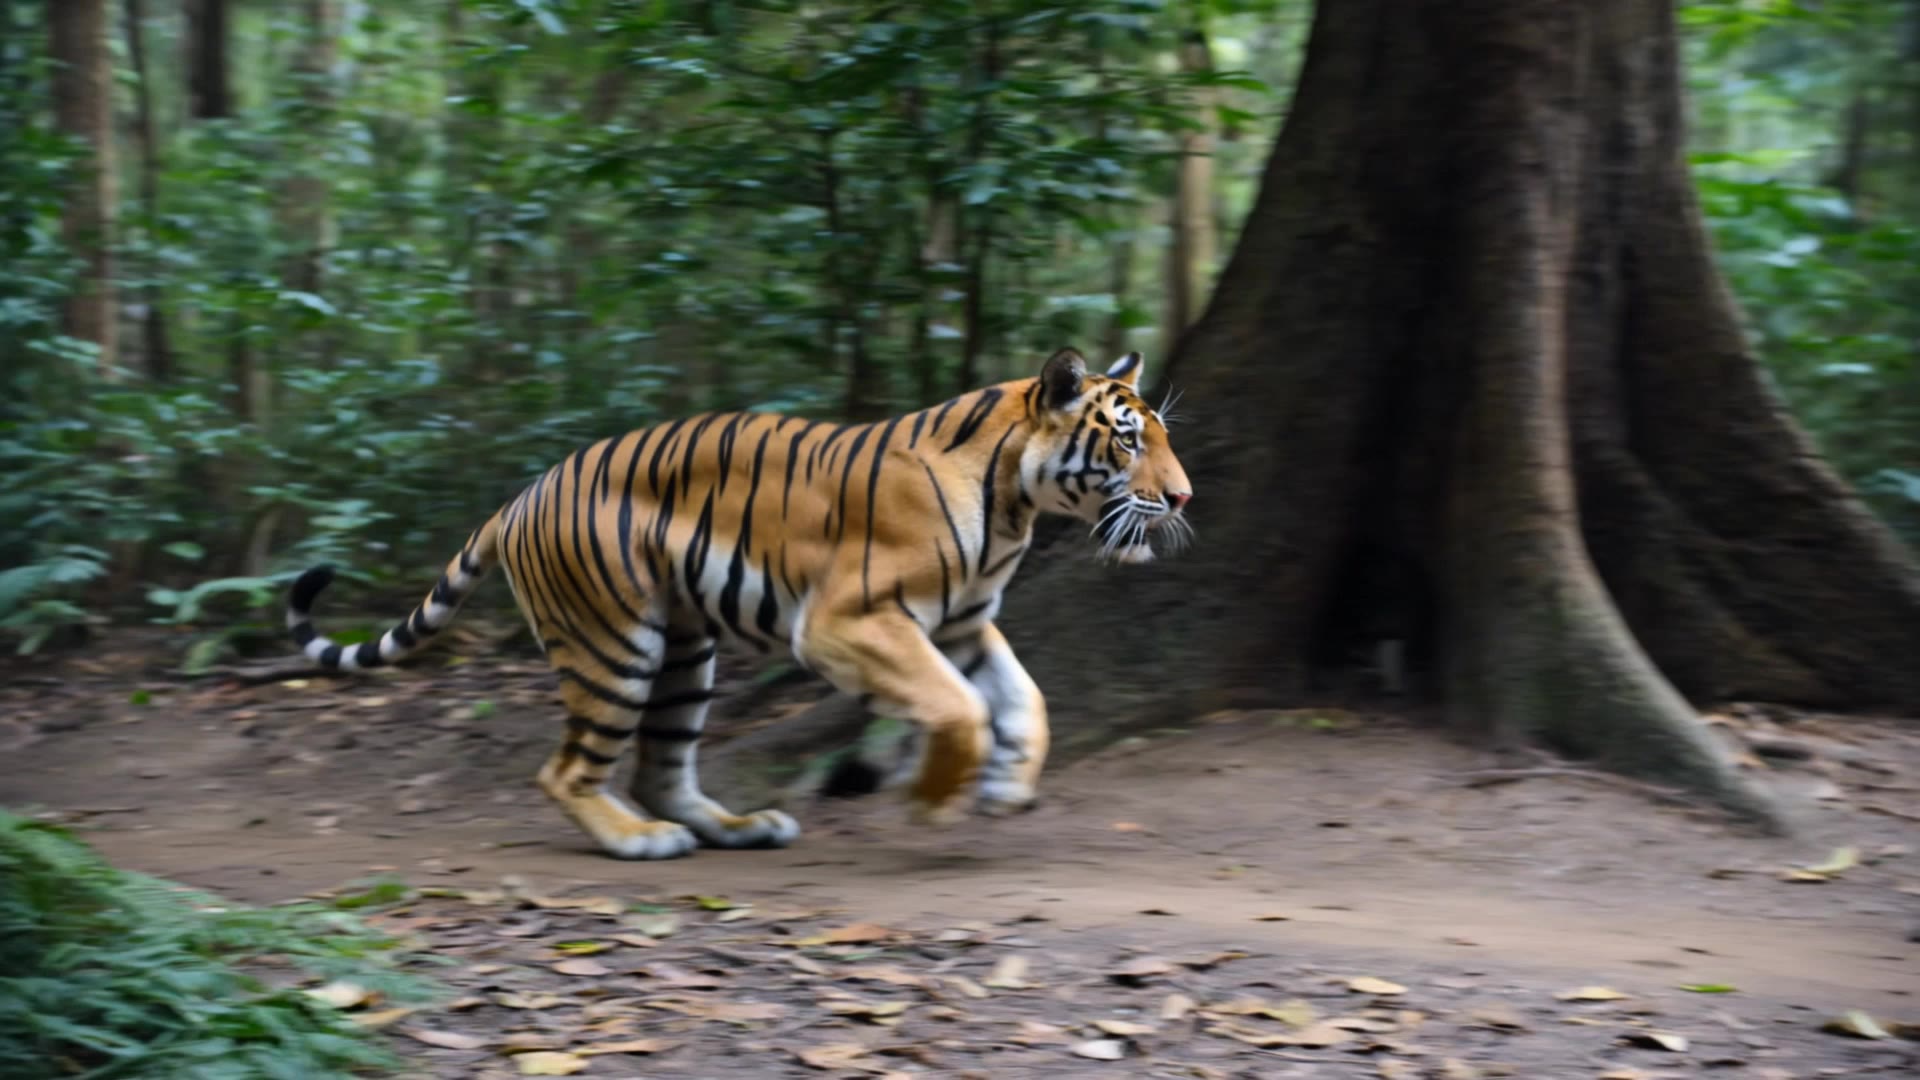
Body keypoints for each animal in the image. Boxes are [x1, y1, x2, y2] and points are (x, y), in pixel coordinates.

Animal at [285, 347, 1192, 860]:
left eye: (1162, 435)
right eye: (1127, 440)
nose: (1185, 496)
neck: (1013, 504)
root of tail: (517, 498)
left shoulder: (966, 622)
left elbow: (1025, 700)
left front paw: (1006, 786)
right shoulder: (846, 622)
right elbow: (959, 707)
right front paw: (933, 802)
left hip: (686, 651)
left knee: (659, 766)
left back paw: (738, 827)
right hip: (617, 643)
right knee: (566, 769)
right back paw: (641, 842)